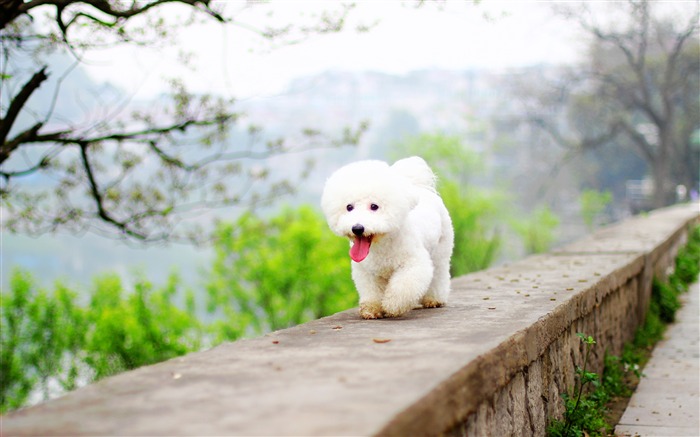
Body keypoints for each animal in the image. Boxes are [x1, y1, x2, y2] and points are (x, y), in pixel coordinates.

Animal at [322, 156, 454, 316]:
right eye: (349, 207)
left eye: (374, 206)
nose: (357, 228)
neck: (381, 244)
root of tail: (420, 187)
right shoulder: (366, 271)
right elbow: (371, 291)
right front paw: (371, 308)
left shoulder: (413, 263)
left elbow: (403, 287)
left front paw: (392, 305)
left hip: (441, 248)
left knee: (439, 273)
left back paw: (434, 299)